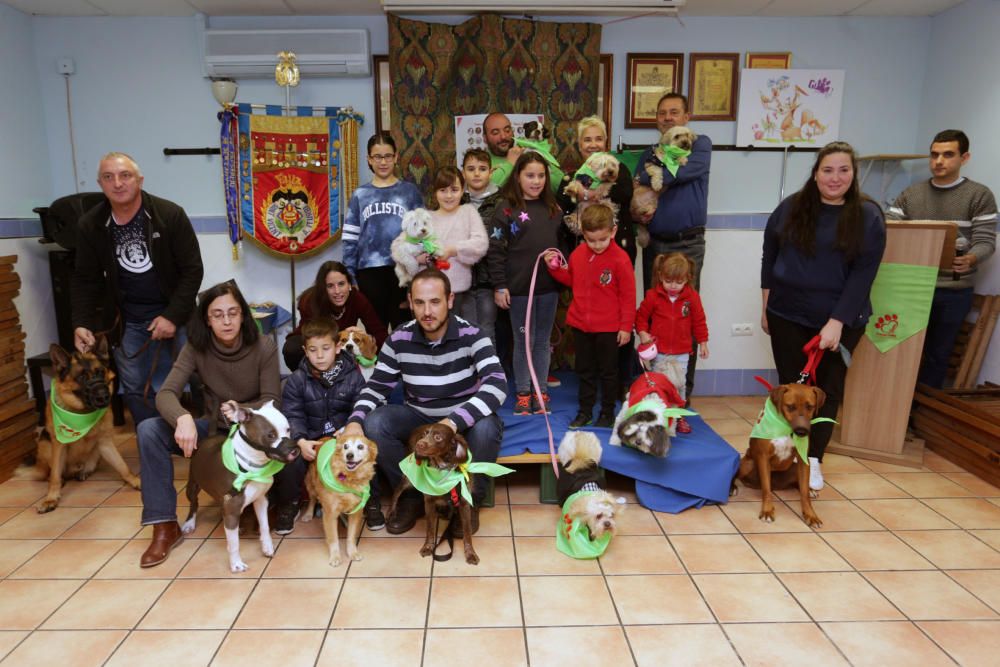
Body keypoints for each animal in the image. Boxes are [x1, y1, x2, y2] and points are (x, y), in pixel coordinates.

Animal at [16, 336, 141, 516]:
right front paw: (51, 499)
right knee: (50, 473)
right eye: (82, 377)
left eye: (100, 372)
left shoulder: (105, 443)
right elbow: (54, 477)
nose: (104, 396)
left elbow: (122, 466)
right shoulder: (59, 446)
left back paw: (84, 471)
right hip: (45, 445)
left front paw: (136, 481)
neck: (82, 414)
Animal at [732, 384, 824, 528]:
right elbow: (766, 489)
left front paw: (811, 515)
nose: (802, 431)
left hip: (794, 469)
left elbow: (804, 494)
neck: (786, 428)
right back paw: (732, 488)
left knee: (799, 484)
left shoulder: (803, 461)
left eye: (810, 406)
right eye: (790, 406)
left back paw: (810, 490)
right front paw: (767, 511)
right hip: (747, 464)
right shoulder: (763, 458)